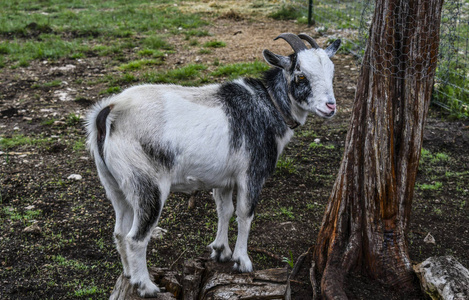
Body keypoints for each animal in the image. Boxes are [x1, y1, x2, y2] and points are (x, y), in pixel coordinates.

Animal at [85, 33, 340, 298]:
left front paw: (221, 251)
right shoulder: (252, 173)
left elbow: (224, 210)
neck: (268, 105)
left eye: (332, 73)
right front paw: (242, 261)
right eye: (300, 75)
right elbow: (245, 213)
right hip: (146, 184)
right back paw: (145, 286)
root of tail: (108, 112)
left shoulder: (223, 179)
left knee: (119, 232)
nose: (330, 106)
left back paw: (128, 274)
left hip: (114, 184)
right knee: (136, 237)